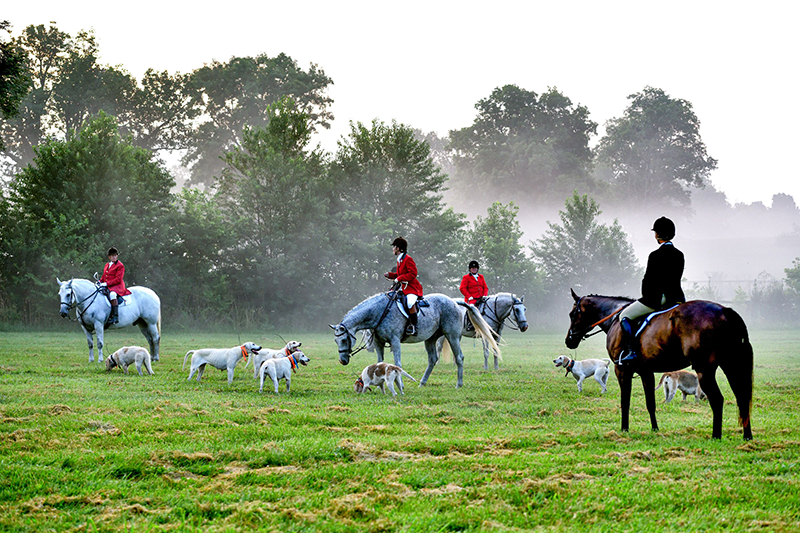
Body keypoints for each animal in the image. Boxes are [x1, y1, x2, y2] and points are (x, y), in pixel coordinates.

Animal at [332, 290, 500, 386]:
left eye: (344, 340)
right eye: (335, 341)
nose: (343, 361)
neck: (380, 311)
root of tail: (453, 301)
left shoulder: (394, 341)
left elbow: (397, 363)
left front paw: (400, 385)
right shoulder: (379, 343)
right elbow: (380, 363)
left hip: (452, 336)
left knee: (459, 357)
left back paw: (459, 384)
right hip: (431, 338)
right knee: (432, 359)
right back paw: (422, 383)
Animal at [564, 288, 752, 438]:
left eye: (572, 314)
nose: (569, 340)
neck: (616, 318)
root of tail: (724, 310)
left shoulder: (622, 369)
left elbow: (625, 401)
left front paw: (624, 429)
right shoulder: (646, 371)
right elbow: (650, 402)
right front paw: (655, 429)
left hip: (704, 370)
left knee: (717, 399)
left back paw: (716, 436)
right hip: (730, 365)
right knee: (741, 398)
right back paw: (747, 436)